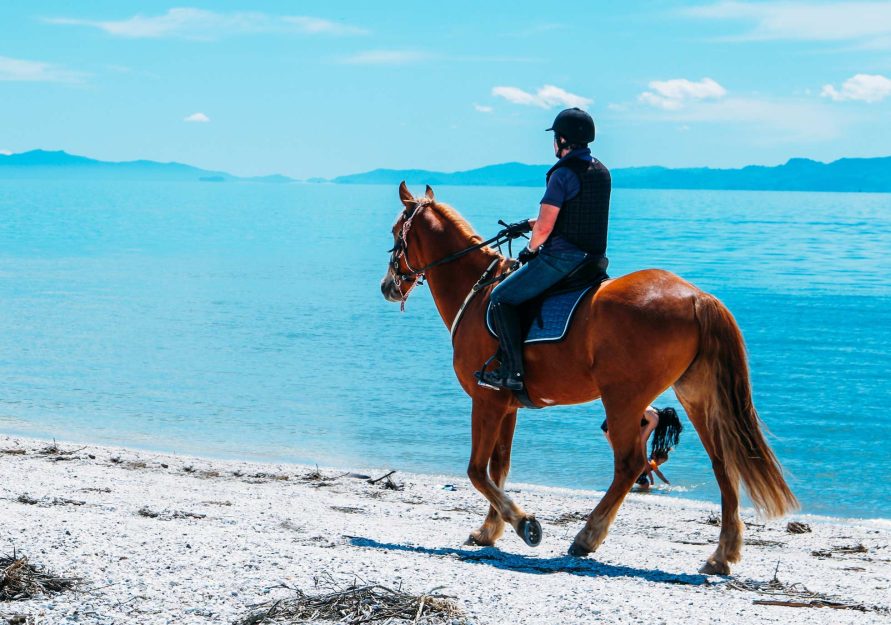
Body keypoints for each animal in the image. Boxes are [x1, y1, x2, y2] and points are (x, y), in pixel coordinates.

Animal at [380, 181, 797, 575]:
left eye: (396, 232)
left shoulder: (486, 400)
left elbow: (476, 470)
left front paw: (524, 524)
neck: (479, 293)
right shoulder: (506, 405)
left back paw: (588, 536)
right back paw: (722, 554)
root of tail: (697, 297)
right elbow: (499, 467)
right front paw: (490, 530)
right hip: (696, 396)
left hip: (624, 398)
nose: (388, 286)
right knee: (721, 463)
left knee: (630, 464)